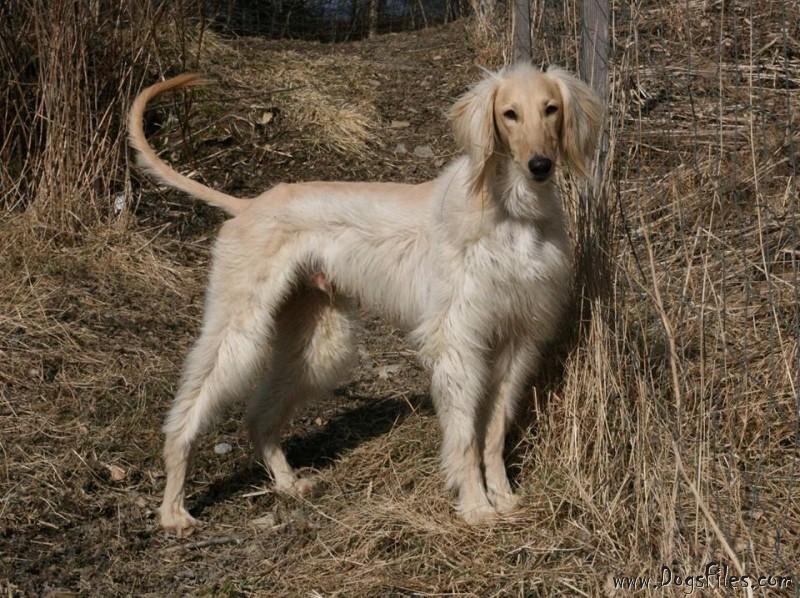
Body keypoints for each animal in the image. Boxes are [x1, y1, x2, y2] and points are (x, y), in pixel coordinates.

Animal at [126, 63, 600, 536]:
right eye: (509, 114)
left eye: (551, 109)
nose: (540, 166)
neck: (513, 212)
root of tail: (246, 206)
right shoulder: (456, 339)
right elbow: (465, 434)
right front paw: (475, 506)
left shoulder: (518, 337)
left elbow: (495, 430)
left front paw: (502, 497)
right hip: (238, 324)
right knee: (187, 411)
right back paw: (173, 509)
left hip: (318, 338)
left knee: (260, 416)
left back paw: (287, 483)